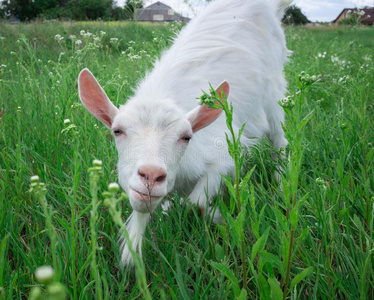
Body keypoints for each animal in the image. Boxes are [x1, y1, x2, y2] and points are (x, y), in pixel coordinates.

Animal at [77, 0, 290, 266]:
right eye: (117, 131)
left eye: (186, 137)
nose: (151, 175)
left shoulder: (222, 157)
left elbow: (195, 204)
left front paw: (216, 216)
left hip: (274, 93)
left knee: (280, 140)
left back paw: (282, 185)